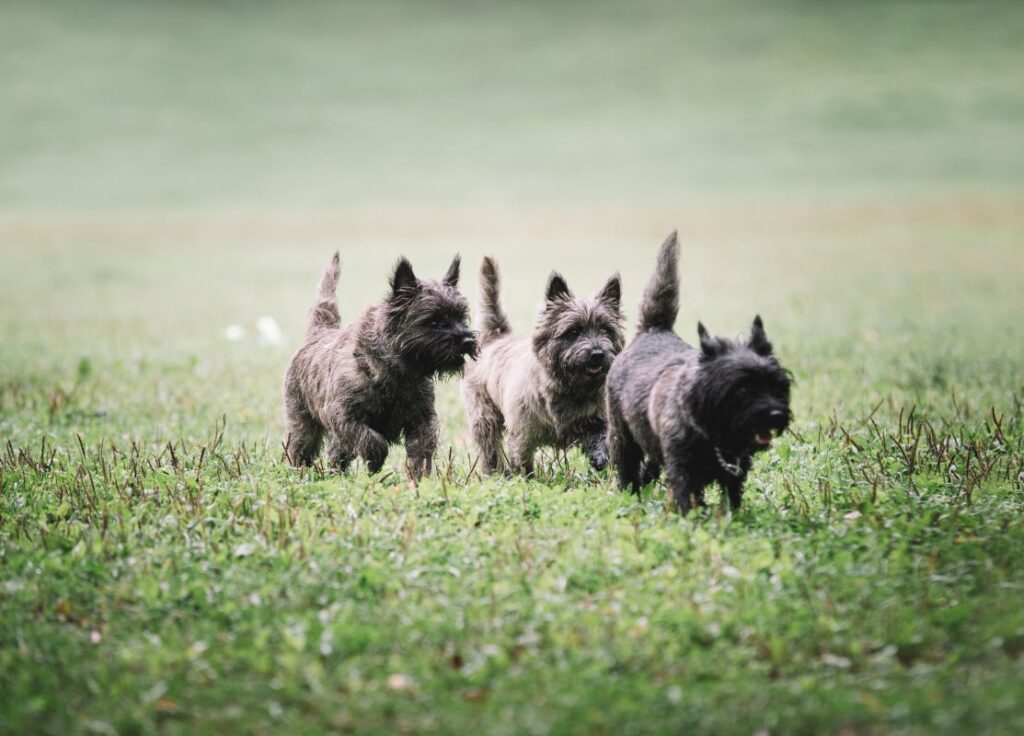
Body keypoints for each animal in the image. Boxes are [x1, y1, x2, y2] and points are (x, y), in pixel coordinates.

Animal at [282, 253, 477, 483]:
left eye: (461, 317)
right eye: (434, 321)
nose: (467, 340)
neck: (397, 373)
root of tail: (318, 333)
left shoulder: (422, 418)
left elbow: (421, 448)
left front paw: (418, 479)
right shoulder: (344, 416)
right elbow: (370, 439)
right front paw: (375, 461)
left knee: (336, 452)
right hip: (303, 421)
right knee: (302, 446)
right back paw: (300, 471)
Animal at [462, 257, 622, 477]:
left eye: (606, 330)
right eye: (573, 331)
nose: (597, 354)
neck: (569, 388)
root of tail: (495, 338)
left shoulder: (595, 419)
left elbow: (599, 435)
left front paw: (601, 458)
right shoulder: (523, 434)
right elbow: (522, 460)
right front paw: (526, 479)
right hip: (484, 416)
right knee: (489, 447)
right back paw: (493, 472)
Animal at [602, 234, 794, 511]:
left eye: (777, 386)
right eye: (742, 389)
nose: (775, 414)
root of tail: (654, 328)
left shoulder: (736, 468)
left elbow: (732, 496)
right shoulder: (684, 469)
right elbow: (687, 498)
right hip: (622, 435)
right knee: (627, 466)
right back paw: (632, 494)